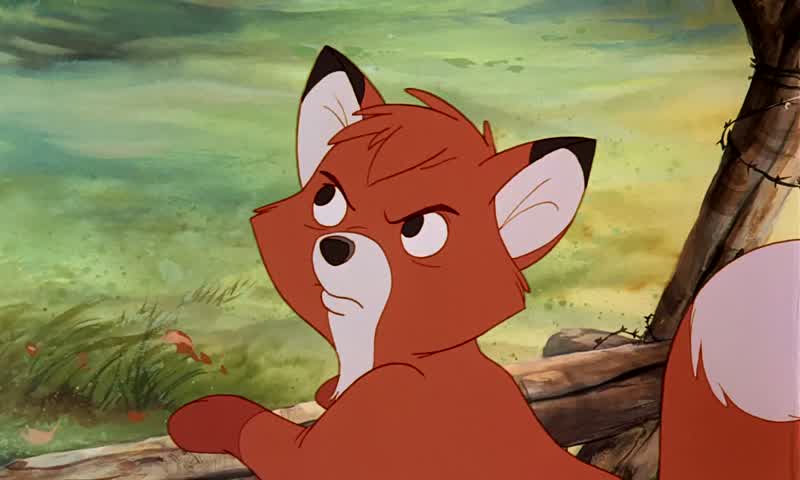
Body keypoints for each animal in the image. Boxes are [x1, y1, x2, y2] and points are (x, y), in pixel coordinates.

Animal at [167, 46, 800, 479]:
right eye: (327, 197)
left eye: (420, 229)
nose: (336, 246)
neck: (377, 352)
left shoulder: (343, 444)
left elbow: (259, 428)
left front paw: (202, 417)